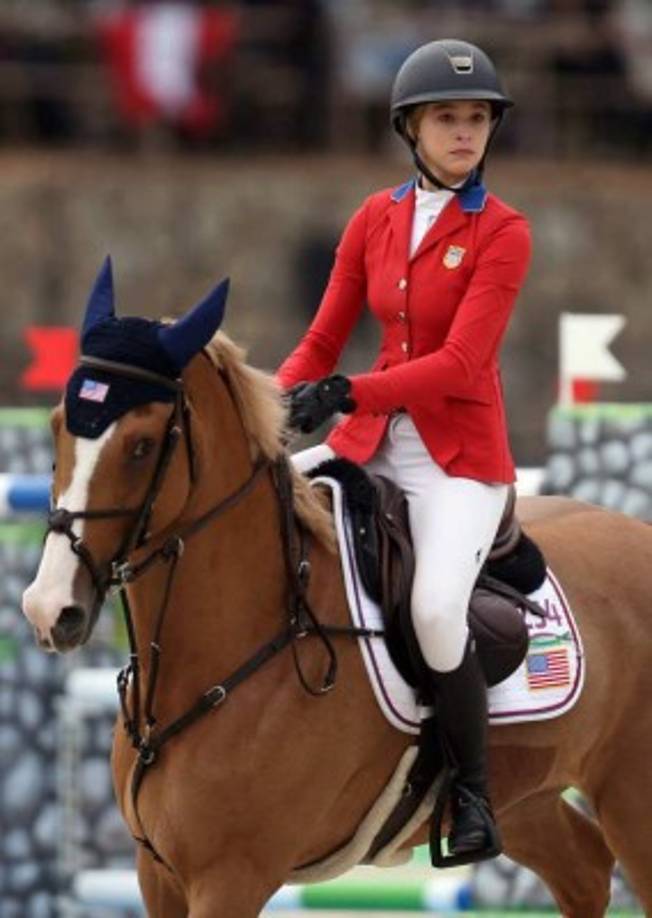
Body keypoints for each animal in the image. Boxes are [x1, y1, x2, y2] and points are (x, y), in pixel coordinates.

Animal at [22, 262, 652, 917]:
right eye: (58, 427)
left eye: (142, 445)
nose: (49, 610)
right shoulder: (159, 875)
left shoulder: (230, 877)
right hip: (527, 799)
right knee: (584, 870)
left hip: (631, 795)